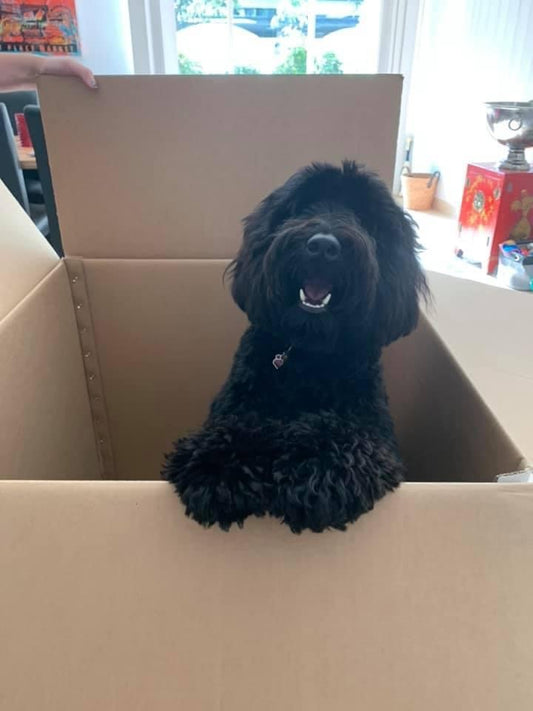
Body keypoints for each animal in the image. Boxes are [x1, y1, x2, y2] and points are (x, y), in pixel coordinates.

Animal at [164, 160, 426, 528]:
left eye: (364, 216)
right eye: (303, 205)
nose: (324, 246)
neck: (307, 355)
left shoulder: (376, 435)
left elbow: (346, 436)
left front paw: (317, 472)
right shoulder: (238, 404)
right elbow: (240, 426)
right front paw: (217, 466)